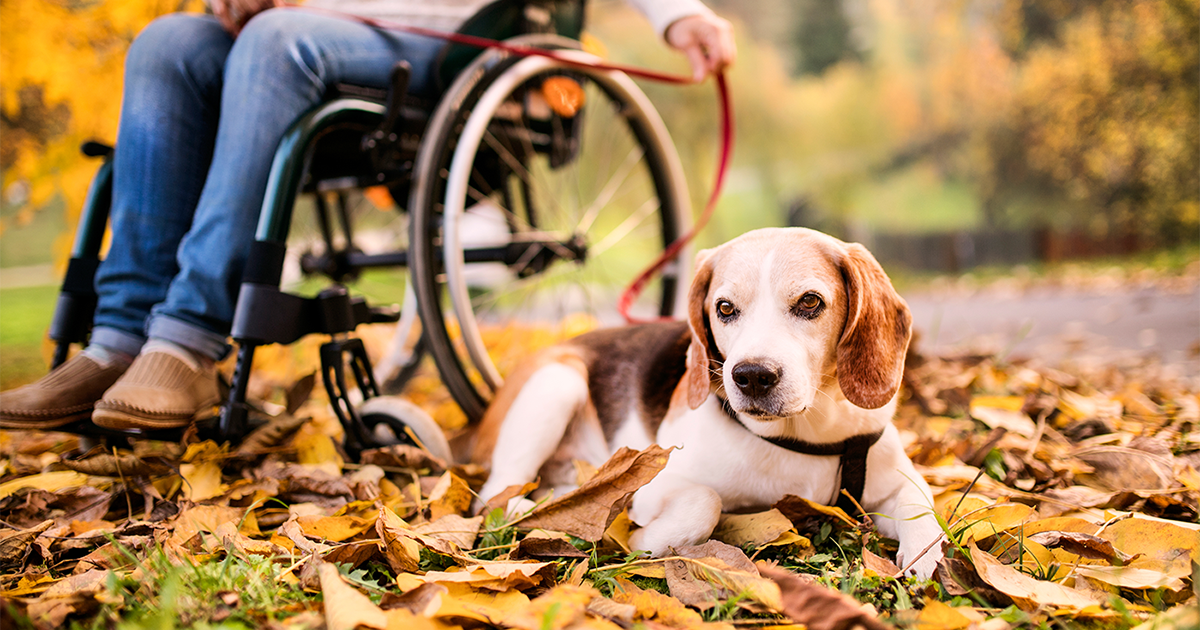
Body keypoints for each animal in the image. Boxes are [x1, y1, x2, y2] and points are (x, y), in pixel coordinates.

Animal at [472, 228, 940, 578]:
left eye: (810, 301)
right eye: (725, 308)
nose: (752, 376)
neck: (805, 432)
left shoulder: (891, 479)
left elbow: (922, 503)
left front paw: (926, 557)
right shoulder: (656, 479)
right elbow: (704, 502)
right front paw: (641, 539)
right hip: (557, 383)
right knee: (496, 494)